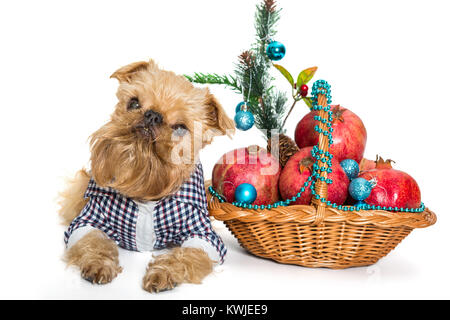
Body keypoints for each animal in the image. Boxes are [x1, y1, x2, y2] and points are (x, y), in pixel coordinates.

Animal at [59, 58, 236, 292]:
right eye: (134, 103)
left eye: (180, 128)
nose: (152, 115)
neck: (145, 193)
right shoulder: (88, 220)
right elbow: (94, 241)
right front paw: (98, 263)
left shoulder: (203, 235)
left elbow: (187, 254)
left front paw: (163, 272)